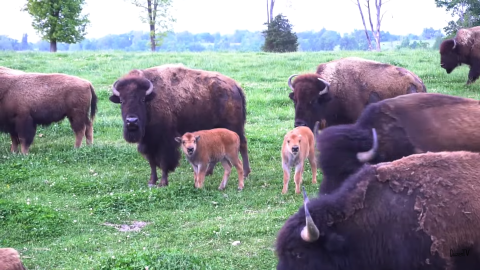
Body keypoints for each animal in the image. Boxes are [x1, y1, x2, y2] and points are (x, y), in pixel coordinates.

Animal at [109, 63, 251, 187]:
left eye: (142, 99)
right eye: (122, 100)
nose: (132, 121)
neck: (152, 98)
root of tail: (235, 86)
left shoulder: (165, 142)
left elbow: (164, 162)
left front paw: (163, 183)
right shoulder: (148, 142)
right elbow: (152, 162)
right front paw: (152, 181)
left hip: (234, 127)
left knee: (243, 144)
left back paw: (245, 173)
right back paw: (209, 172)